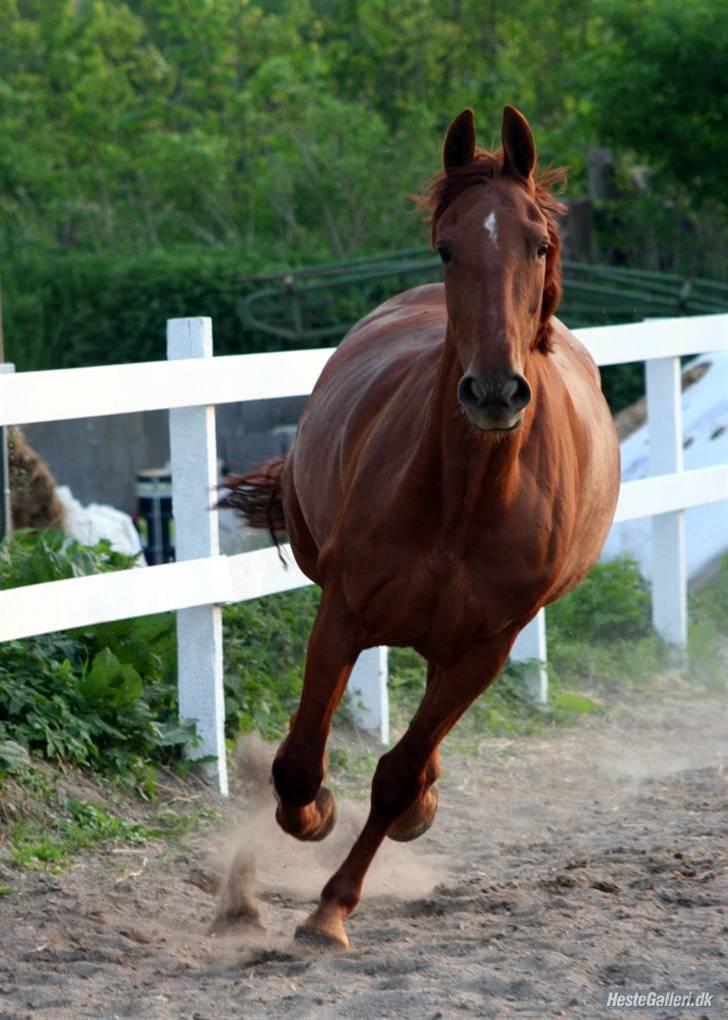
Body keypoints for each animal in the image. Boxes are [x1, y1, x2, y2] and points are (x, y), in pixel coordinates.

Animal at [222, 105, 619, 946]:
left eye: (538, 243)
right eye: (447, 247)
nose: (495, 391)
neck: (464, 502)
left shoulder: (486, 649)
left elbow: (399, 774)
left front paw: (331, 909)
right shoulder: (343, 613)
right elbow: (299, 763)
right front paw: (313, 815)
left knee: (419, 745)